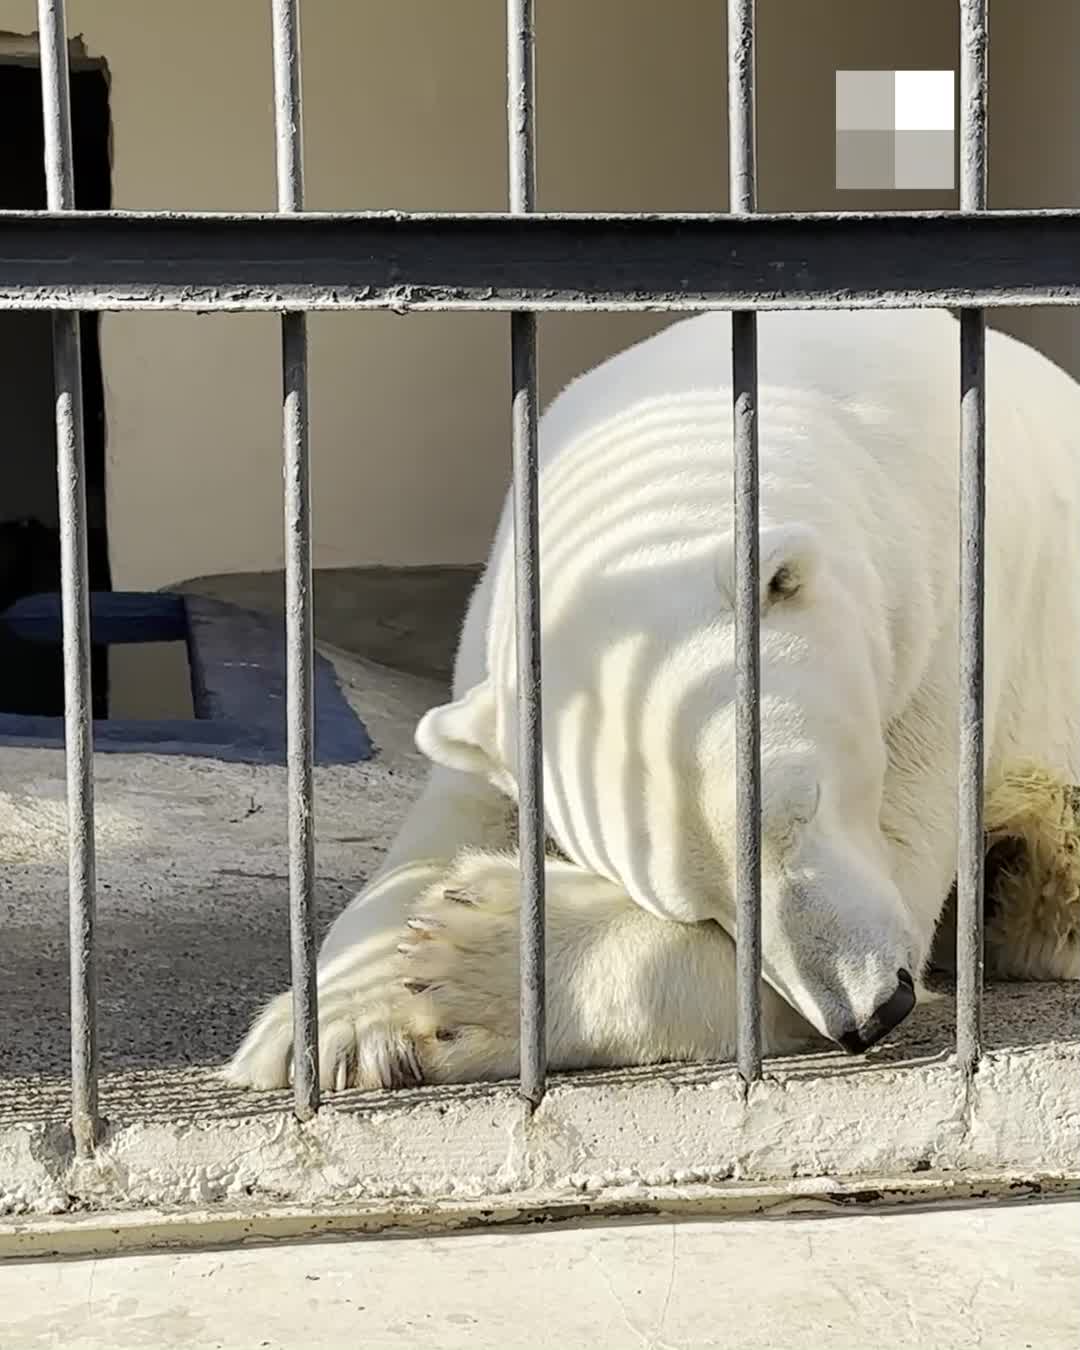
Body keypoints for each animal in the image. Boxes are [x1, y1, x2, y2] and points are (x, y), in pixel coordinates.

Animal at [225, 309, 1080, 1096]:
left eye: (802, 808)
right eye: (694, 904)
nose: (872, 1011)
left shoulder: (949, 615)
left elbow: (902, 860)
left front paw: (467, 958)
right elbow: (453, 814)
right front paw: (324, 1028)